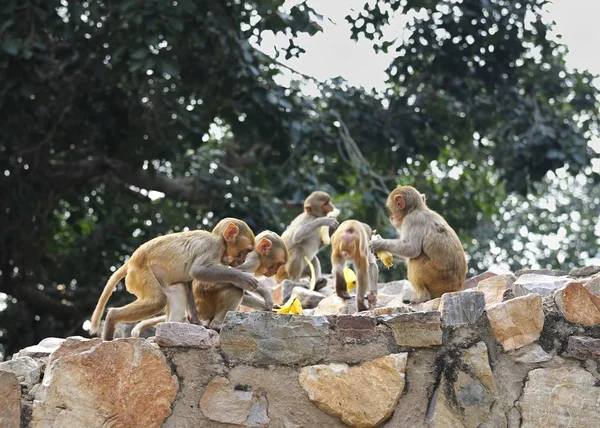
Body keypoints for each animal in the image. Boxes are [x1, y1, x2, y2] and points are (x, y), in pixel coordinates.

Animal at [89, 219, 258, 340]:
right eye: (246, 251)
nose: (242, 261)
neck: (219, 239)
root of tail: (131, 261)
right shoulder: (213, 247)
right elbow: (198, 271)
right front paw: (243, 278)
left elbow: (188, 282)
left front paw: (195, 321)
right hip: (140, 274)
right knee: (158, 300)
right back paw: (112, 319)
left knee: (179, 291)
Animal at [129, 231, 288, 334]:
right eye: (278, 263)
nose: (275, 272)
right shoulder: (252, 260)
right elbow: (232, 280)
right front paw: (266, 294)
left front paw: (270, 306)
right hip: (206, 307)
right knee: (234, 289)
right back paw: (216, 326)